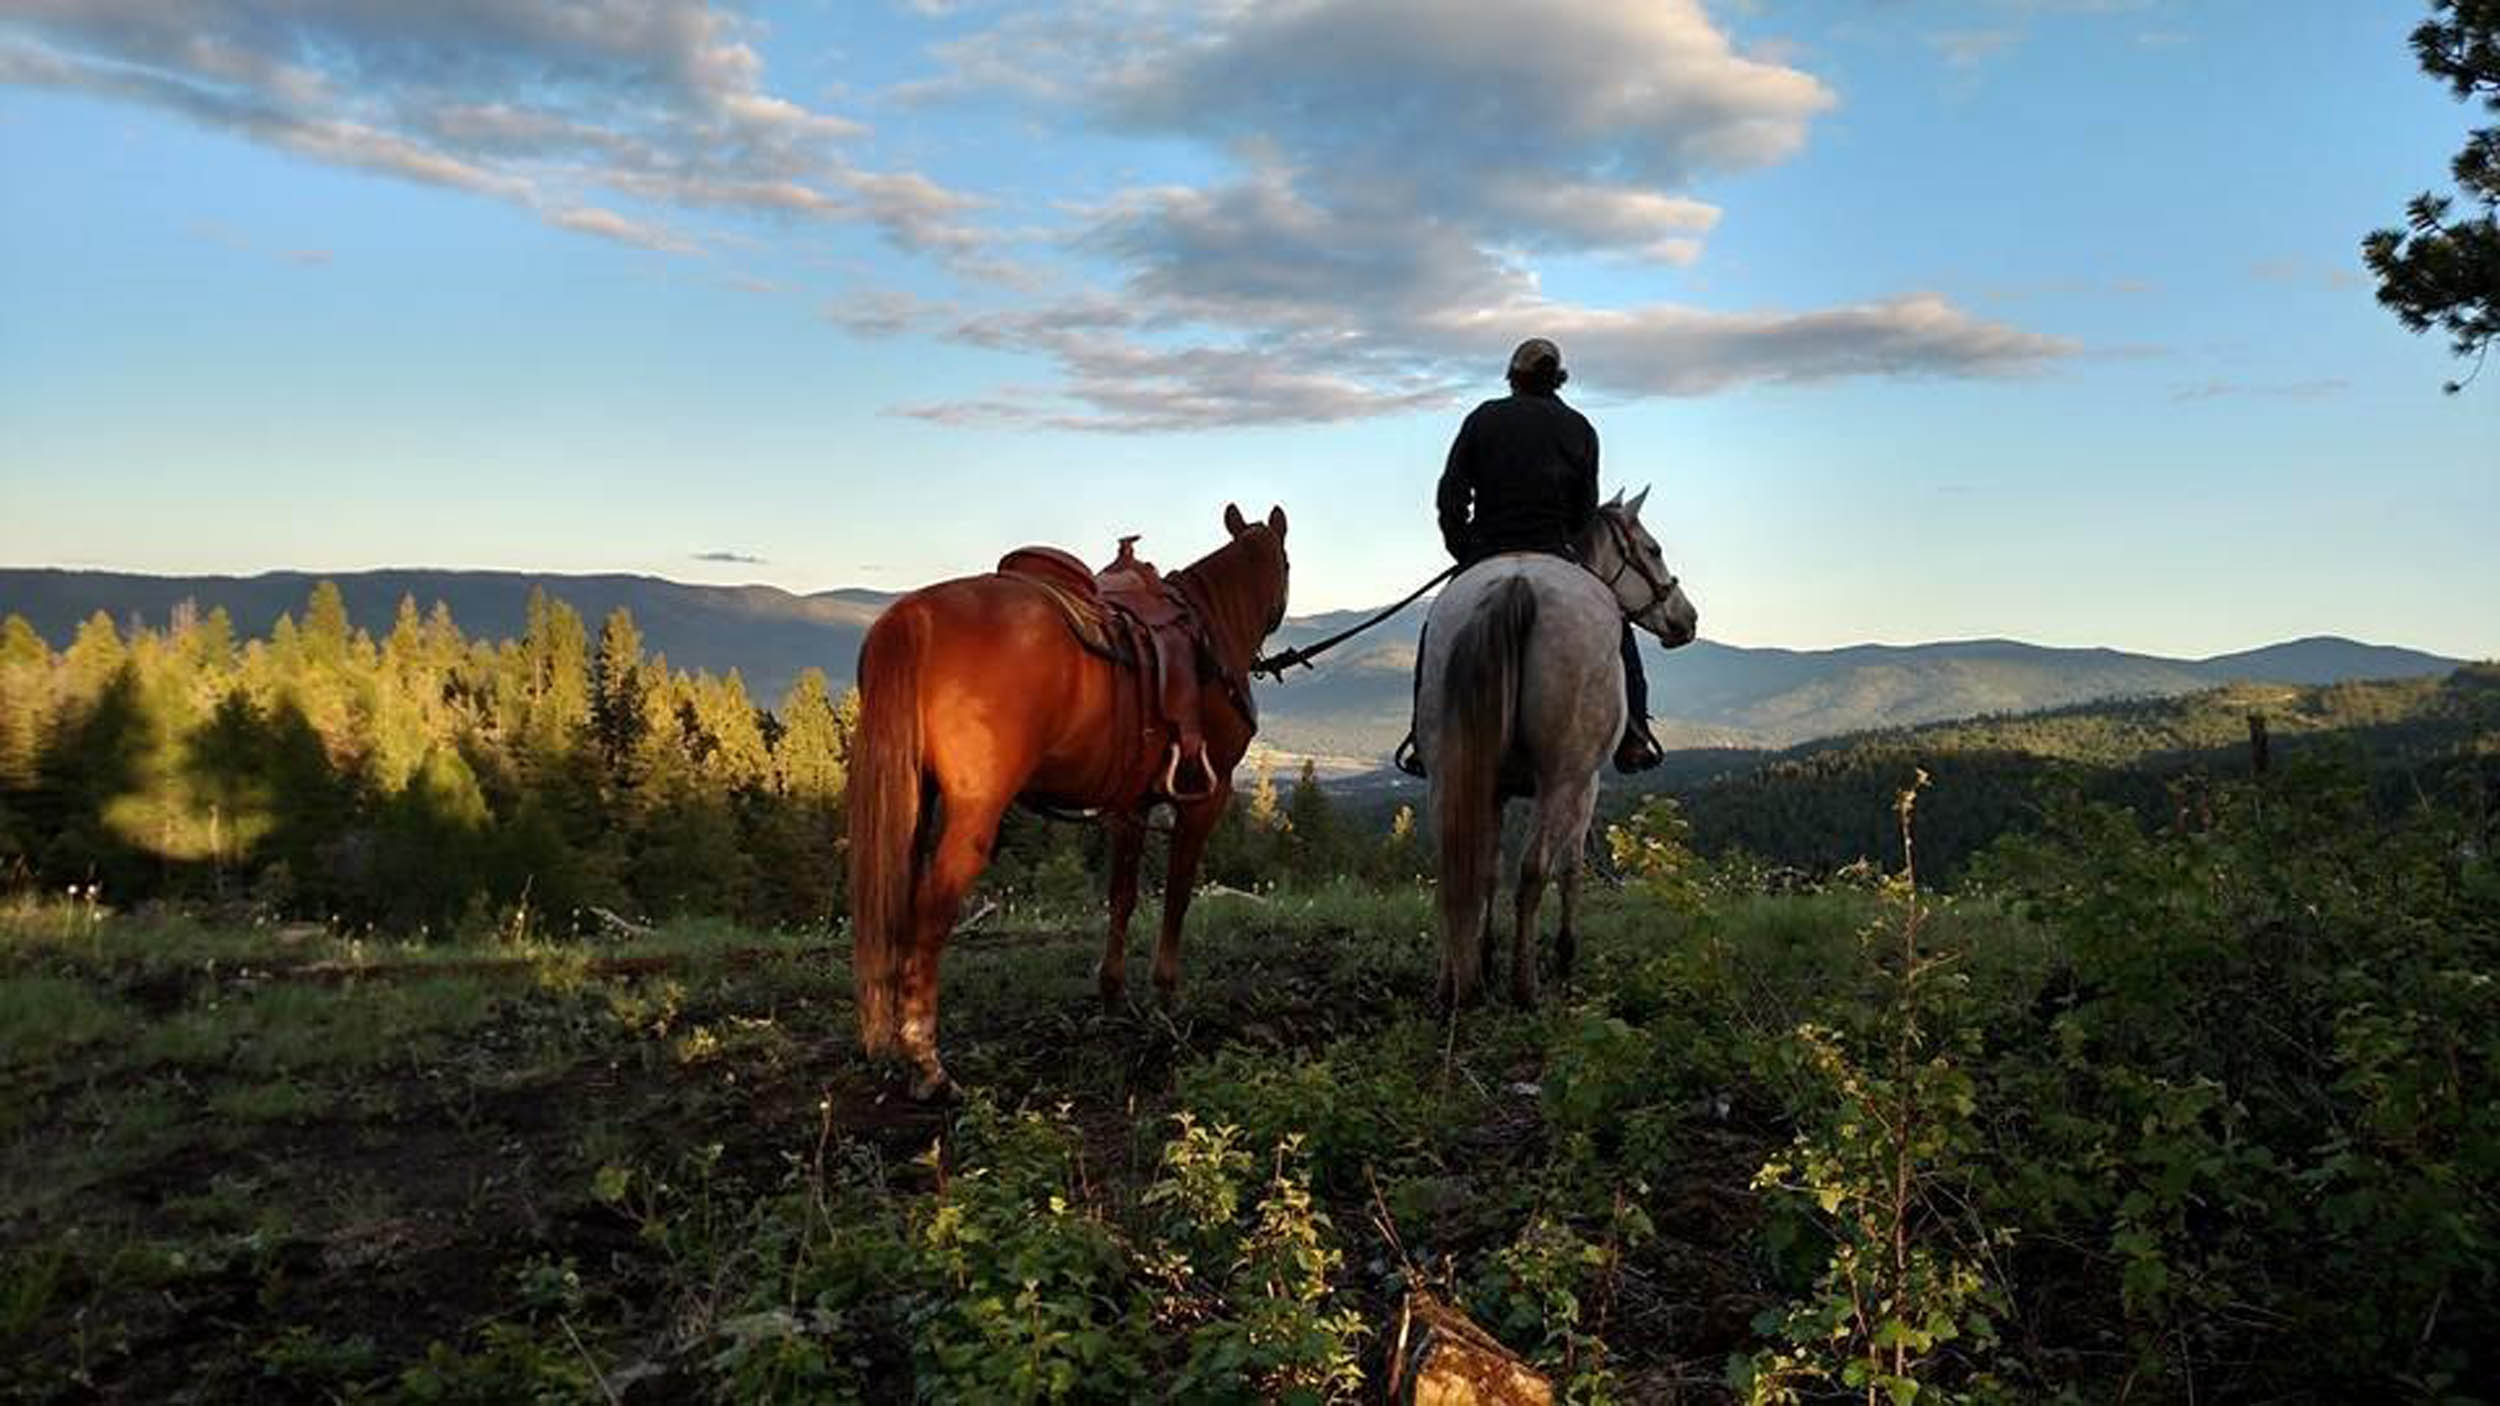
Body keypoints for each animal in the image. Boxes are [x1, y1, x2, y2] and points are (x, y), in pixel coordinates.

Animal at [855, 502, 1290, 1095]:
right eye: (1286, 563)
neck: (1209, 632)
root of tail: (914, 615)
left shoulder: (1131, 806)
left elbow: (1122, 897)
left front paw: (1112, 997)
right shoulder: (1207, 796)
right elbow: (1177, 894)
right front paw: (1166, 995)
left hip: (914, 803)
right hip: (973, 815)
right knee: (931, 913)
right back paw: (927, 1062)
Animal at [1410, 487, 1700, 1000]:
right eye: (1653, 549)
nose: (1688, 620)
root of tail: (1516, 584)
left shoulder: (1494, 788)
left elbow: (1487, 870)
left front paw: (1484, 954)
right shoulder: (1585, 788)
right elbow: (1570, 867)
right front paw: (1565, 953)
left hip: (1448, 773)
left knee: (1455, 865)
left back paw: (1453, 985)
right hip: (1563, 777)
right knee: (1534, 871)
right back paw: (1526, 988)